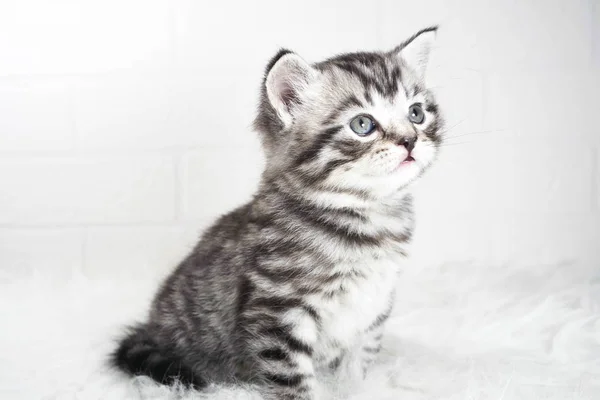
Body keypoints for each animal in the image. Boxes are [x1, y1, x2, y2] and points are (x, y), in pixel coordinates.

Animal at [112, 27, 442, 400]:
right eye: (362, 124)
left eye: (416, 114)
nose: (410, 140)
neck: (368, 217)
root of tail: (151, 326)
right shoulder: (276, 313)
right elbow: (293, 382)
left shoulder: (373, 308)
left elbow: (356, 369)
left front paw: (355, 389)